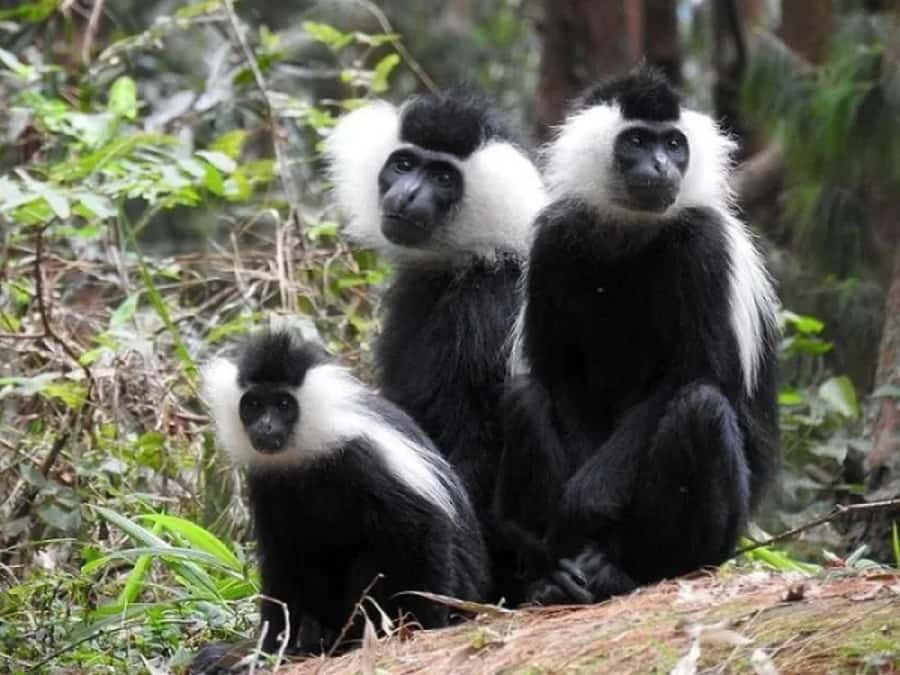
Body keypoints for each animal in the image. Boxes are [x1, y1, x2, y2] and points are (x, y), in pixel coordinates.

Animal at [191, 329, 490, 672]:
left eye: (283, 404)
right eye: (253, 404)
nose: (264, 426)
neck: (307, 454)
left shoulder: (365, 458)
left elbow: (423, 528)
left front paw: (423, 626)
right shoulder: (267, 482)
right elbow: (280, 563)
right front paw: (267, 650)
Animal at [495, 66, 780, 604]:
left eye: (673, 143)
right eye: (636, 142)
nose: (662, 165)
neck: (632, 229)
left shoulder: (704, 244)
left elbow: (698, 371)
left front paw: (585, 501)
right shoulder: (553, 241)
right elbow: (560, 374)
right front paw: (570, 523)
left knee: (700, 409)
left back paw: (625, 571)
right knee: (524, 395)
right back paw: (555, 578)